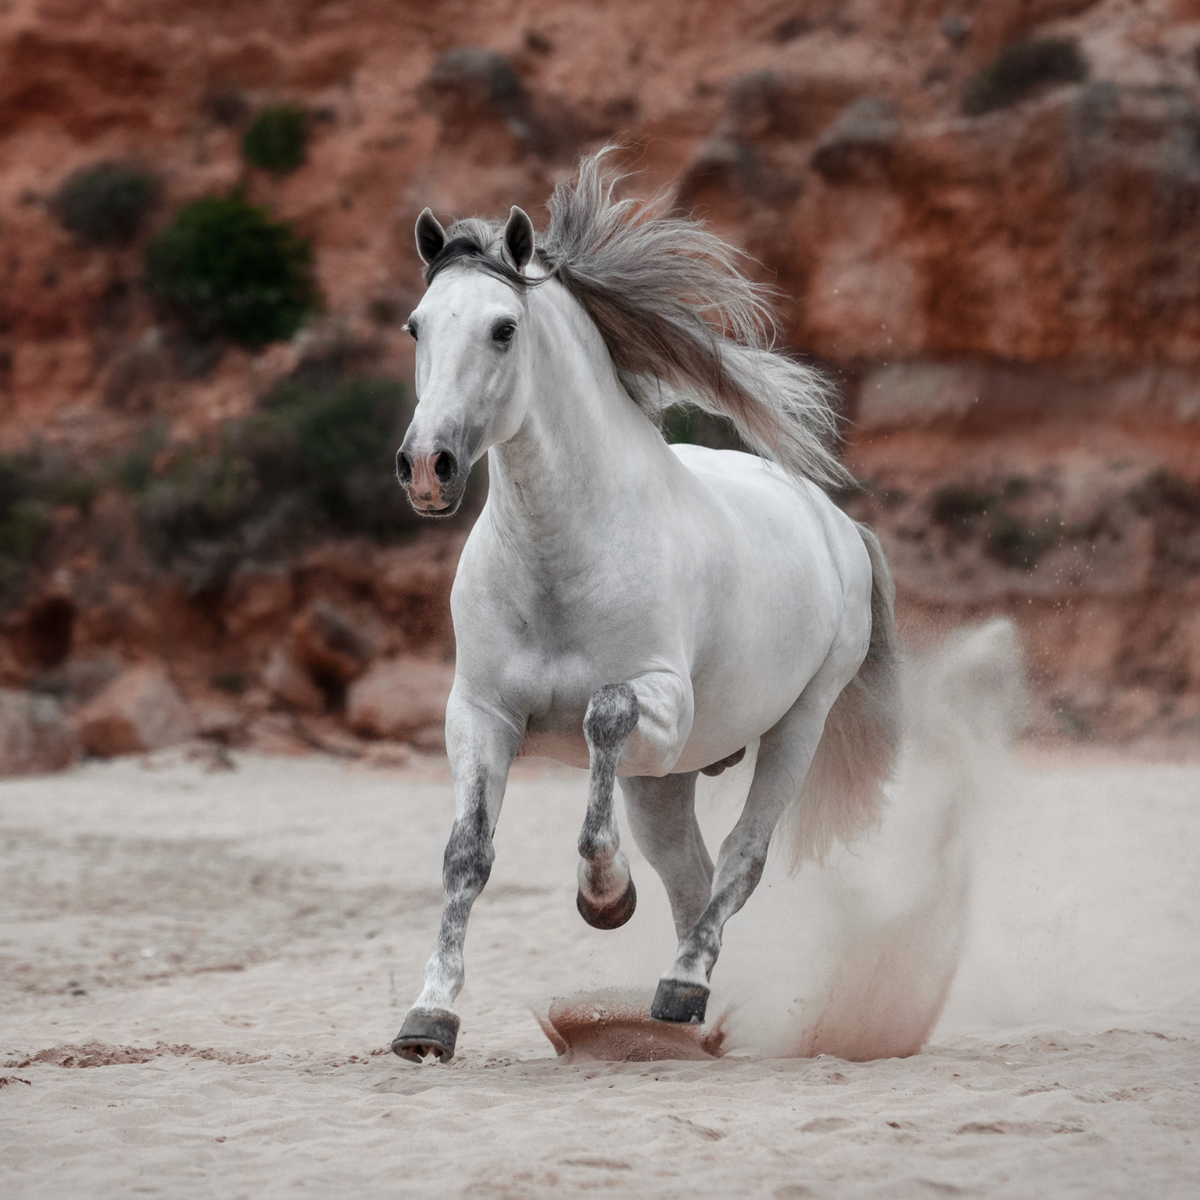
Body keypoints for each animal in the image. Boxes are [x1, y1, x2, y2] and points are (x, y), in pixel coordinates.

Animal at [391, 150, 899, 1063]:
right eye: (416, 327)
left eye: (503, 329)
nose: (426, 467)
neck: (561, 559)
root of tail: (836, 523)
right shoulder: (478, 715)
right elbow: (466, 856)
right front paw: (429, 1018)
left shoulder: (659, 702)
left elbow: (602, 717)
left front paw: (603, 897)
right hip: (665, 782)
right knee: (691, 876)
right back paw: (686, 1011)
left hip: (795, 727)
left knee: (739, 860)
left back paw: (683, 987)